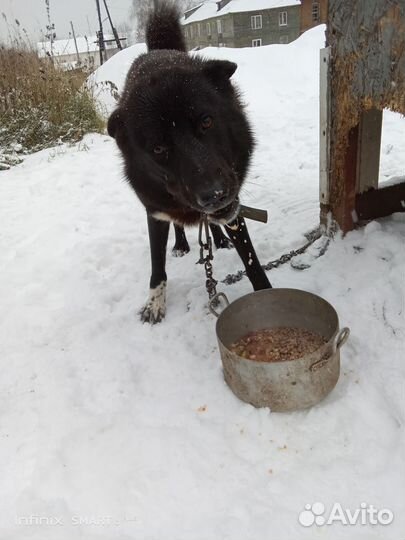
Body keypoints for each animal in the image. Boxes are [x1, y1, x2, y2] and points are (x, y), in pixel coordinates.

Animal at [109, 2, 270, 322]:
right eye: (158, 148)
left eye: (206, 121)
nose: (214, 195)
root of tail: (159, 50)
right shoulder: (156, 213)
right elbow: (157, 266)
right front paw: (155, 303)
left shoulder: (234, 211)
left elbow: (252, 263)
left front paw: (267, 293)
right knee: (180, 229)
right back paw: (182, 244)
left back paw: (218, 239)